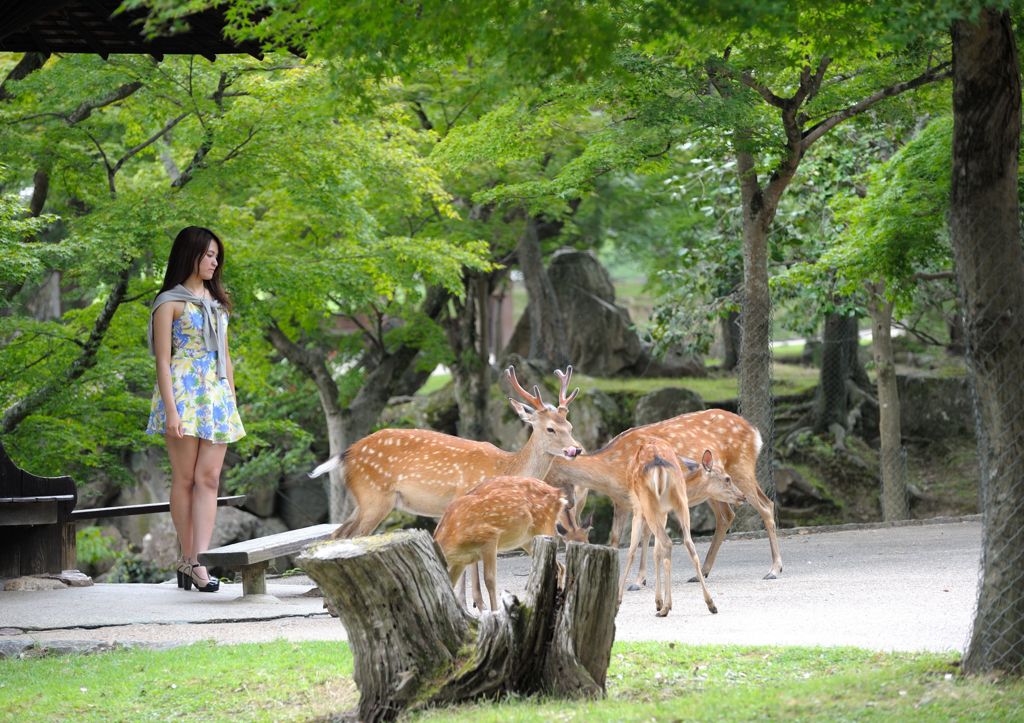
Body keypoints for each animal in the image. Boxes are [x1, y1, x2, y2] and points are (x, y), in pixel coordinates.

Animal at [307, 362, 585, 536]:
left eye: (570, 426)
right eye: (550, 429)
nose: (575, 450)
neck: (506, 468)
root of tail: (346, 454)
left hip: (363, 499)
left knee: (337, 534)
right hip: (375, 496)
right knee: (352, 535)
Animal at [434, 475, 593, 610]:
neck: (453, 532)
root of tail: (558, 494)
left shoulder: (489, 538)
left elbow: (490, 580)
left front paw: (494, 612)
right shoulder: (462, 560)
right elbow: (450, 583)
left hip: (545, 526)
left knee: (557, 566)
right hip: (527, 539)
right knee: (560, 566)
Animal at [548, 405, 778, 581]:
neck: (612, 471)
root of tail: (755, 433)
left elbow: (645, 535)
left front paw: (639, 580)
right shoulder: (620, 501)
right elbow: (615, 538)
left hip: (741, 468)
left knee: (766, 506)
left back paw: (774, 569)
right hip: (716, 488)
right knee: (727, 515)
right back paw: (702, 572)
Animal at [618, 436, 741, 618]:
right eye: (727, 478)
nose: (742, 496)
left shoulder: (638, 509)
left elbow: (632, 550)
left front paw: (622, 600)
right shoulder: (662, 512)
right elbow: (656, 552)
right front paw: (657, 600)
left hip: (649, 504)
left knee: (668, 543)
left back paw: (666, 608)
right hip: (680, 503)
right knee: (688, 543)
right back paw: (710, 604)